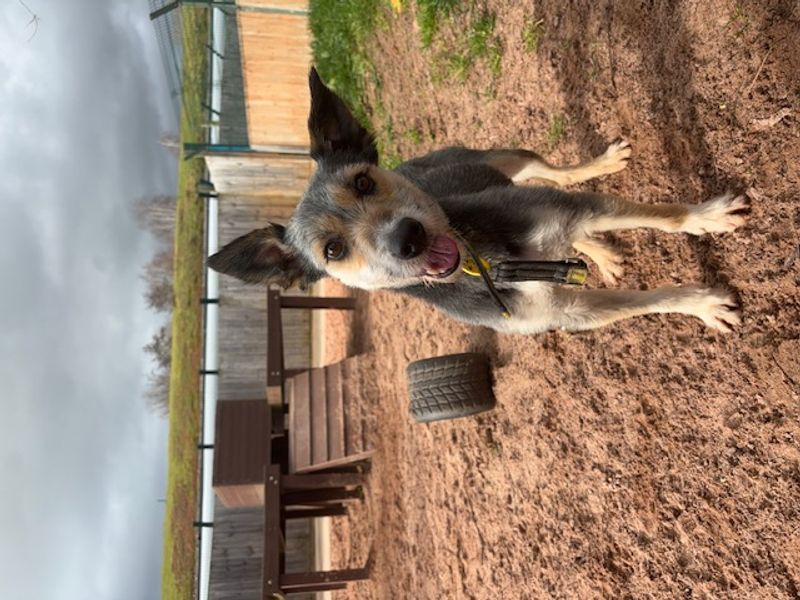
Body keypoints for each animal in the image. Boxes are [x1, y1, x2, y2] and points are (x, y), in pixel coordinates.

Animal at [209, 68, 748, 336]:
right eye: (333, 251)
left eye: (362, 182)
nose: (408, 238)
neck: (485, 263)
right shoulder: (570, 310)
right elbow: (649, 302)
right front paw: (700, 305)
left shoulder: (577, 210)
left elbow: (667, 216)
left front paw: (708, 218)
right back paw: (600, 253)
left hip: (511, 160)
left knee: (556, 172)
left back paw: (599, 167)